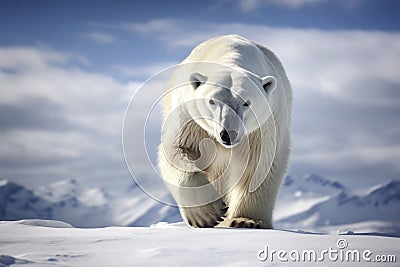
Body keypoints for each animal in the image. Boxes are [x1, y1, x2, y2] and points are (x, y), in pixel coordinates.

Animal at [158, 34, 292, 229]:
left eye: (246, 102)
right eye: (212, 101)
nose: (228, 134)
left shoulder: (266, 123)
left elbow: (261, 163)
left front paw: (245, 220)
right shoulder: (190, 117)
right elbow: (179, 149)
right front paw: (206, 214)